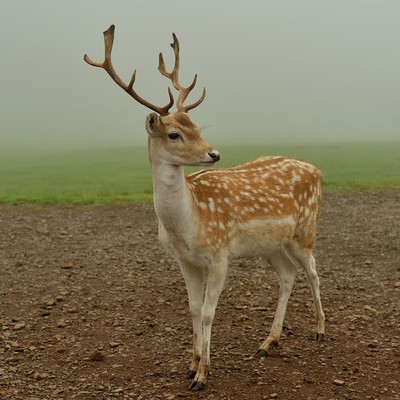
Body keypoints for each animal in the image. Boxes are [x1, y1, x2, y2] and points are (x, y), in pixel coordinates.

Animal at [84, 25, 325, 391]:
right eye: (174, 134)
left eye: (198, 127)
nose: (214, 153)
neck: (188, 224)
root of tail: (317, 170)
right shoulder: (185, 260)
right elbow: (194, 309)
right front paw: (191, 364)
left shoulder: (220, 253)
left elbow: (211, 311)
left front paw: (203, 374)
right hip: (271, 244)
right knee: (288, 274)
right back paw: (268, 343)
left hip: (305, 230)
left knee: (312, 269)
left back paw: (320, 330)